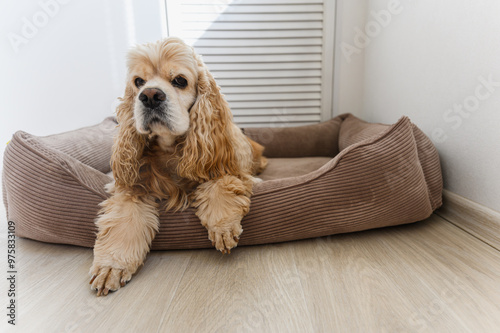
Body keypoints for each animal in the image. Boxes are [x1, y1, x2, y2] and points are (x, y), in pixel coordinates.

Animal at [90, 37, 270, 294]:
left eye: (180, 81)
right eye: (138, 82)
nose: (150, 95)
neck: (169, 147)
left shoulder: (228, 169)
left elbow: (220, 184)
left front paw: (223, 226)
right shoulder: (130, 189)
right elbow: (123, 220)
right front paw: (111, 265)